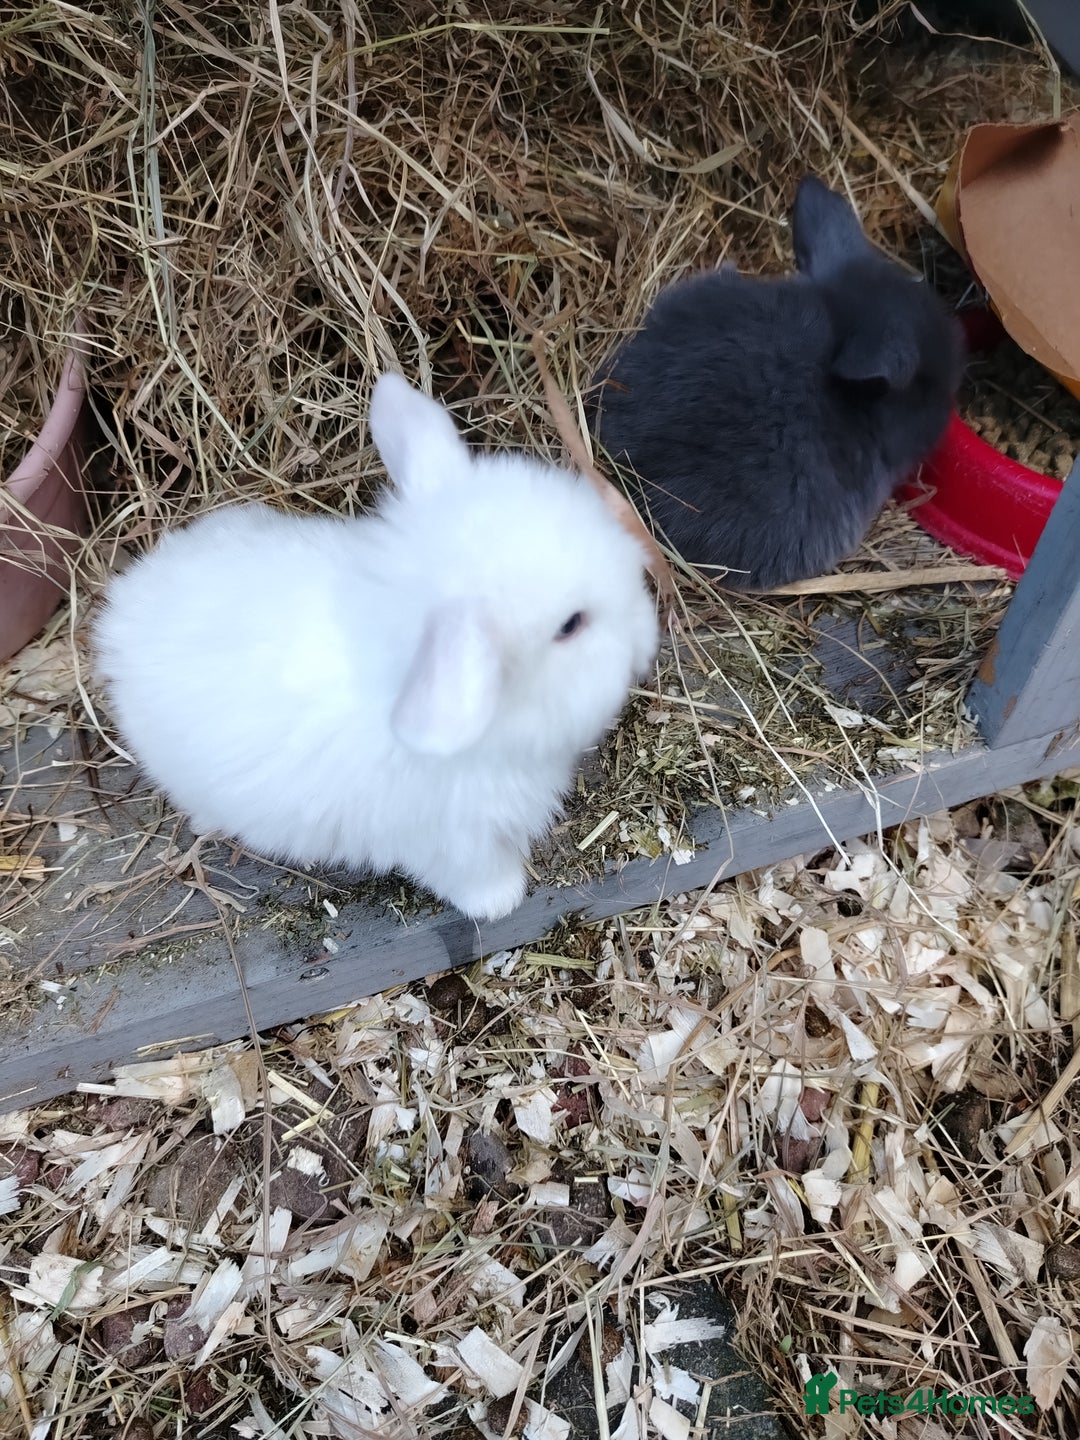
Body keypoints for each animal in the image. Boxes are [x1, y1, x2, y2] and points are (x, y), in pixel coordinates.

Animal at [94, 374, 659, 922]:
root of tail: (119, 616)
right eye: (570, 625)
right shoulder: (451, 844)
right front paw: (504, 902)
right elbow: (477, 879)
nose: (649, 633)